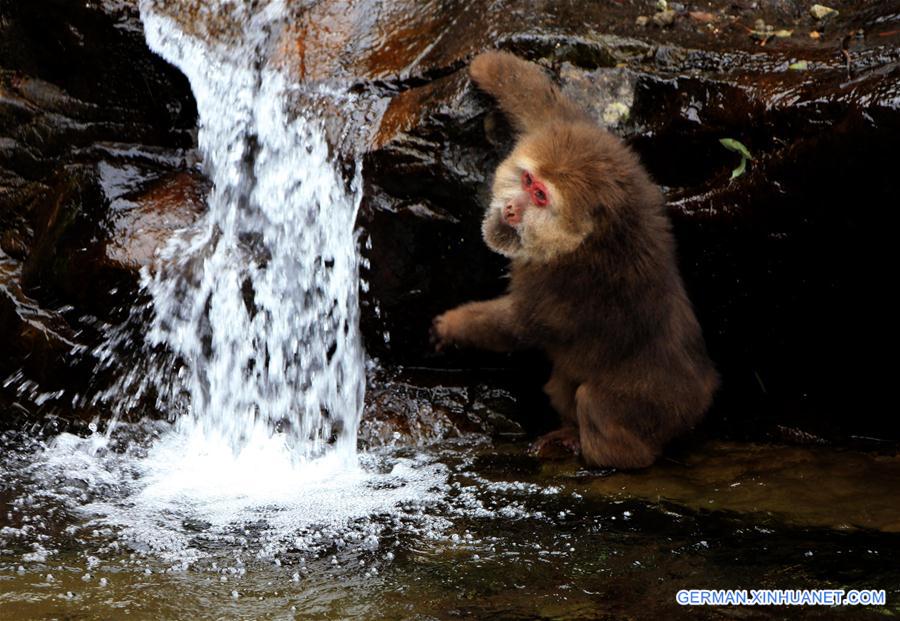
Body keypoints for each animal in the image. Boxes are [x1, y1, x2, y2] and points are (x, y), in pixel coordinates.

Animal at [432, 50, 720, 468]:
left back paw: (600, 451)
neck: (583, 237)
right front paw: (490, 67)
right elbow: (548, 107)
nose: (511, 209)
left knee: (595, 401)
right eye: (527, 180)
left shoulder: (566, 281)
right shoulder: (607, 154)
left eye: (539, 197)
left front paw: (454, 325)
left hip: (659, 405)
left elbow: (520, 325)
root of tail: (705, 393)